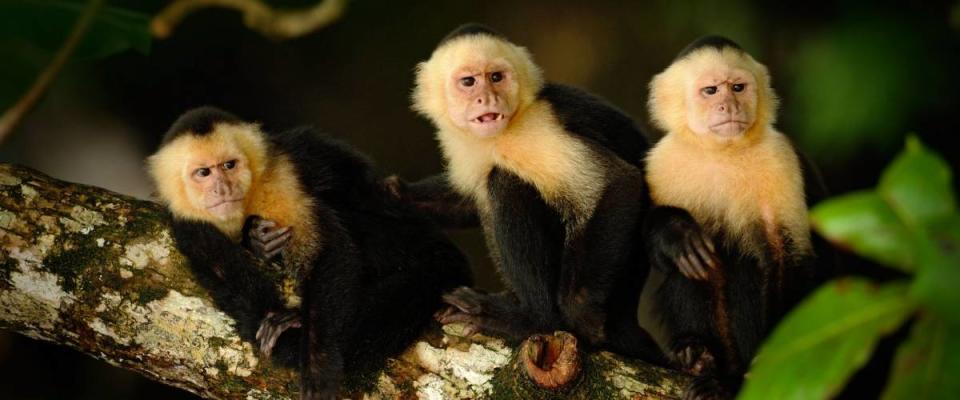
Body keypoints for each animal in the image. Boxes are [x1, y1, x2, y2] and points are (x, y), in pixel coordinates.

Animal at [145, 107, 468, 400]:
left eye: (229, 165)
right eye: (203, 173)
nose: (222, 189)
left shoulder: (279, 178)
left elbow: (328, 249)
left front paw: (317, 365)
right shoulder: (184, 215)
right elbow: (213, 258)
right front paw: (258, 250)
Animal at [396, 23, 660, 364]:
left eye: (496, 77)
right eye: (468, 82)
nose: (486, 98)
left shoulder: (535, 127)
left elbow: (618, 183)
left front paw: (576, 314)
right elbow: (464, 200)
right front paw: (397, 191)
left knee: (503, 182)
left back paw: (530, 317)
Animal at [644, 36, 832, 396]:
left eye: (738, 87)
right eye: (711, 91)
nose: (729, 106)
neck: (722, 152)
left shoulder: (779, 157)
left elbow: (785, 256)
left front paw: (769, 361)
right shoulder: (662, 162)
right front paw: (675, 233)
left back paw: (728, 378)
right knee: (691, 267)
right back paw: (698, 355)